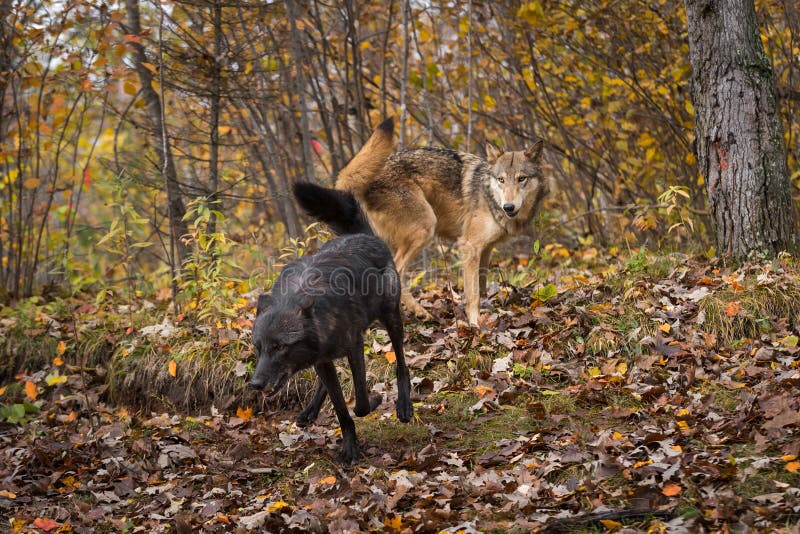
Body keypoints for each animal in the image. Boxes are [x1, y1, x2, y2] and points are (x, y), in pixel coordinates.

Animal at [248, 183, 412, 464]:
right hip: (323, 359)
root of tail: (361, 234)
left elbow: (360, 404)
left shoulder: (354, 347)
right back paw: (310, 411)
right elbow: (342, 411)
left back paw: (404, 405)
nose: (256, 384)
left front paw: (375, 400)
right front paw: (350, 448)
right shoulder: (323, 360)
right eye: (259, 348)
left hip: (391, 319)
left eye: (280, 347)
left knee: (401, 363)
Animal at [334, 123, 548, 326]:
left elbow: (482, 286)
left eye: (521, 179)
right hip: (425, 228)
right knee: (397, 273)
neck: (489, 196)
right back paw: (419, 313)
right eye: (501, 180)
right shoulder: (469, 246)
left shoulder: (486, 249)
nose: (508, 207)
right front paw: (475, 324)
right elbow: (473, 294)